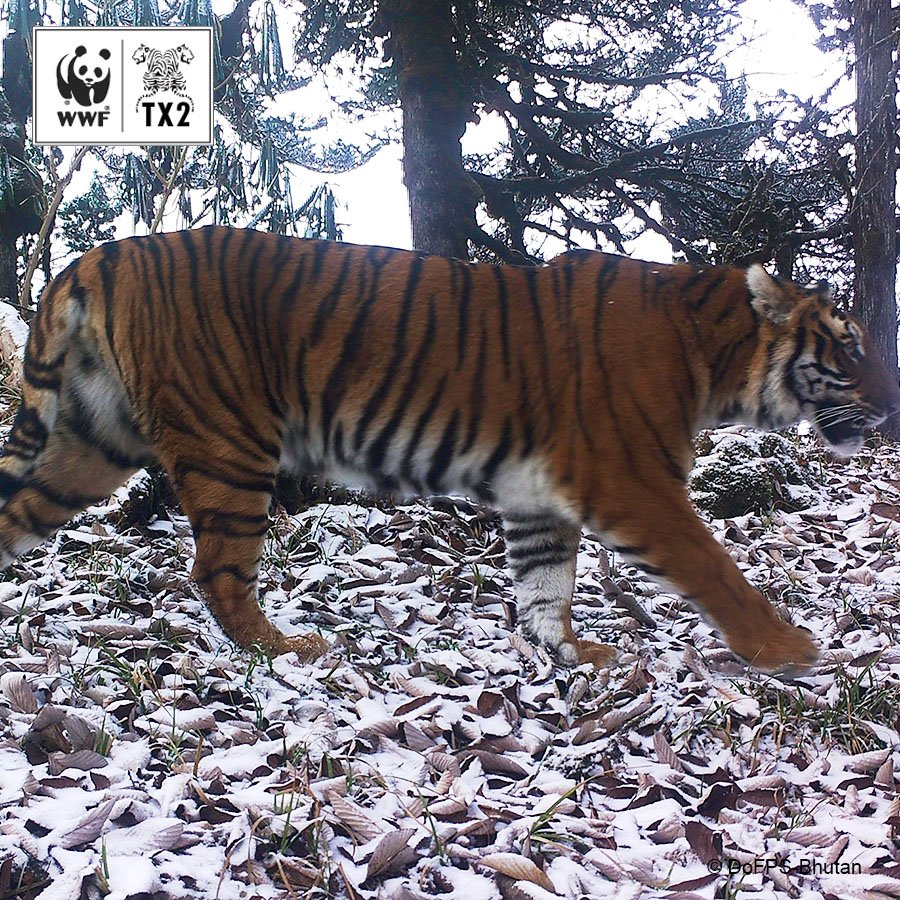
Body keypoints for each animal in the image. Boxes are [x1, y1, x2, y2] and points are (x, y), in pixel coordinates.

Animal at [0, 227, 897, 675]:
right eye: (849, 347)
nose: (890, 405)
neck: (714, 353)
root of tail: (99, 253)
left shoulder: (543, 496)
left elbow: (545, 586)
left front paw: (569, 651)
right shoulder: (634, 482)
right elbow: (716, 568)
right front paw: (785, 649)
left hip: (91, 444)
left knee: (17, 514)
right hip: (228, 444)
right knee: (217, 571)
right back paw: (284, 649)